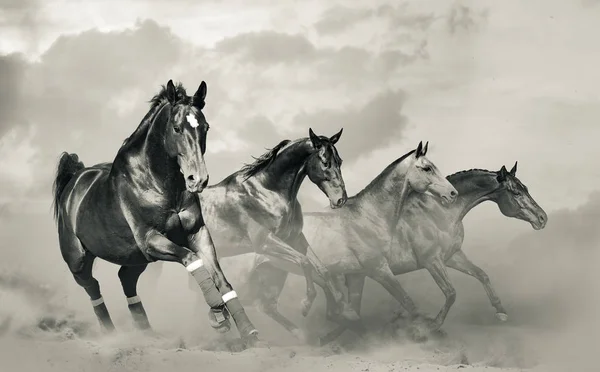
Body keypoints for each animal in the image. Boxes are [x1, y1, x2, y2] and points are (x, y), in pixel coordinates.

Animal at [49, 80, 260, 348]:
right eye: (177, 128)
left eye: (205, 127)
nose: (198, 180)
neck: (159, 184)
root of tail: (74, 180)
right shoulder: (150, 240)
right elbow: (191, 258)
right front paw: (217, 312)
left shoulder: (198, 233)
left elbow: (221, 278)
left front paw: (248, 331)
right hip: (78, 259)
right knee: (92, 286)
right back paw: (110, 333)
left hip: (135, 258)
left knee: (126, 279)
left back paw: (146, 333)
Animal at [145, 129, 358, 342]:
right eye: (325, 162)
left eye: (339, 161)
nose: (340, 199)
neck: (266, 192)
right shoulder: (264, 242)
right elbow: (305, 262)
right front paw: (306, 304)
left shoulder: (294, 238)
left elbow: (321, 269)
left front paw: (340, 309)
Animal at [241, 141, 458, 338]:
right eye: (427, 168)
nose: (452, 193)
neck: (369, 215)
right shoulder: (378, 269)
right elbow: (407, 301)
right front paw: (426, 331)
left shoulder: (357, 275)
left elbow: (354, 308)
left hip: (274, 273)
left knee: (268, 306)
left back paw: (305, 335)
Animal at [316, 162, 552, 342]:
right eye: (515, 191)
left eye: (525, 188)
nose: (542, 218)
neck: (439, 212)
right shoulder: (432, 262)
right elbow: (451, 293)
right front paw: (431, 327)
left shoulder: (452, 256)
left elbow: (482, 274)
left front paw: (500, 311)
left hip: (358, 275)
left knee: (349, 309)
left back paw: (331, 337)